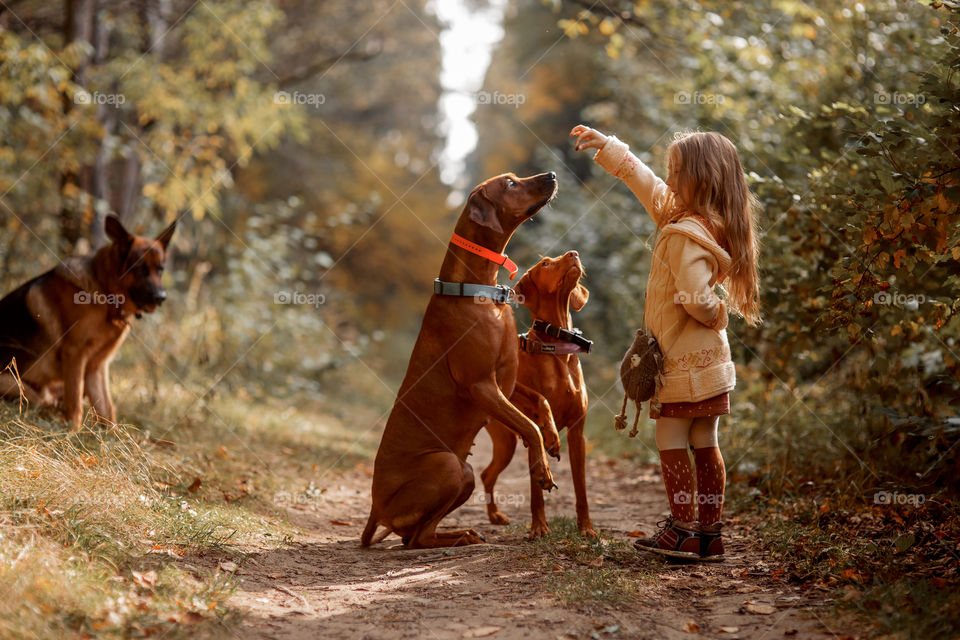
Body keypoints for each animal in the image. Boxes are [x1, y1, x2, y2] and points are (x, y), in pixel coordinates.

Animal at [0, 215, 176, 430]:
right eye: (140, 269)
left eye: (160, 270)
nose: (161, 297)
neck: (106, 293)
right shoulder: (75, 355)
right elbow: (75, 403)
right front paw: (72, 433)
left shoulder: (97, 366)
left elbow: (107, 410)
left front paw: (112, 437)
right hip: (17, 385)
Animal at [362, 171, 560, 552]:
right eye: (510, 184)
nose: (553, 174)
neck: (477, 290)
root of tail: (376, 509)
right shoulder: (481, 385)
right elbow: (527, 425)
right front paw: (541, 467)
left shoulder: (505, 383)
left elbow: (540, 404)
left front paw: (553, 437)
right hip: (448, 466)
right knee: (417, 540)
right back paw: (460, 536)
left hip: (463, 474)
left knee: (414, 536)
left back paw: (461, 534)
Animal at [484, 252, 596, 536]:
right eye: (545, 263)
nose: (574, 253)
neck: (557, 346)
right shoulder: (527, 423)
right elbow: (540, 399)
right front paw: (539, 527)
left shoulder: (578, 434)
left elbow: (581, 489)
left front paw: (587, 528)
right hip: (505, 440)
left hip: (505, 444)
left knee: (486, 475)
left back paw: (495, 516)